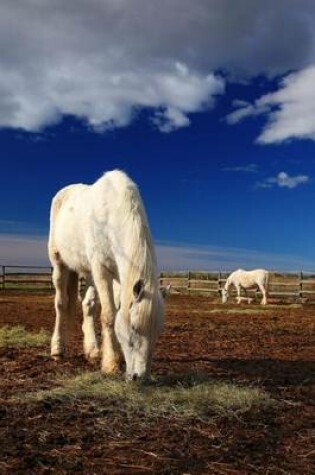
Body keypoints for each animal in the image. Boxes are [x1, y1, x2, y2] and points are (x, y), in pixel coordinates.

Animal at [48, 169, 165, 382]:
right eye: (134, 328)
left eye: (157, 332)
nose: (140, 376)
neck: (111, 216)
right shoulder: (101, 270)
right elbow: (110, 315)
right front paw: (111, 364)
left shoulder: (118, 275)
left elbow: (115, 310)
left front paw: (114, 355)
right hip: (59, 263)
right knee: (61, 304)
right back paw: (57, 349)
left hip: (89, 273)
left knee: (88, 306)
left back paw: (92, 350)